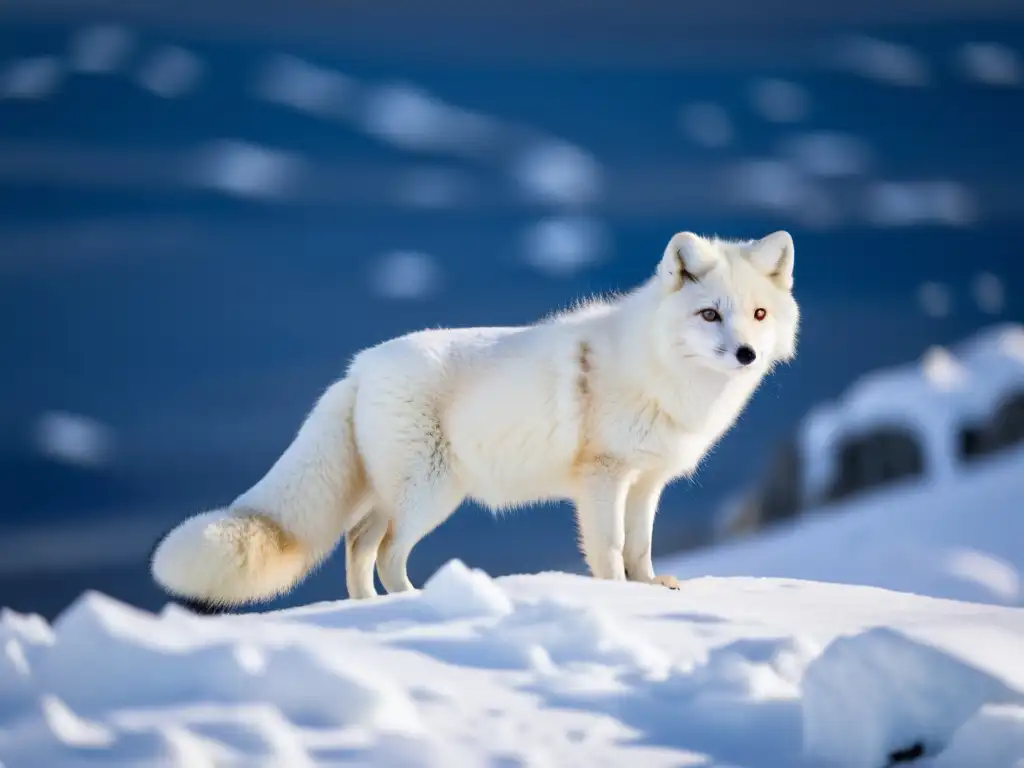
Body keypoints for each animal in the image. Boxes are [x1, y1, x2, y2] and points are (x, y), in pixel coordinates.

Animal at [149, 230, 798, 614]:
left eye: (759, 314)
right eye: (709, 314)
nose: (747, 355)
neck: (662, 371)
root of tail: (358, 369)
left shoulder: (647, 482)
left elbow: (641, 547)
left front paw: (651, 592)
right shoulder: (603, 477)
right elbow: (611, 549)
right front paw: (616, 598)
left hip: (392, 495)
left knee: (357, 545)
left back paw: (369, 612)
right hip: (431, 495)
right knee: (385, 552)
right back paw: (410, 604)